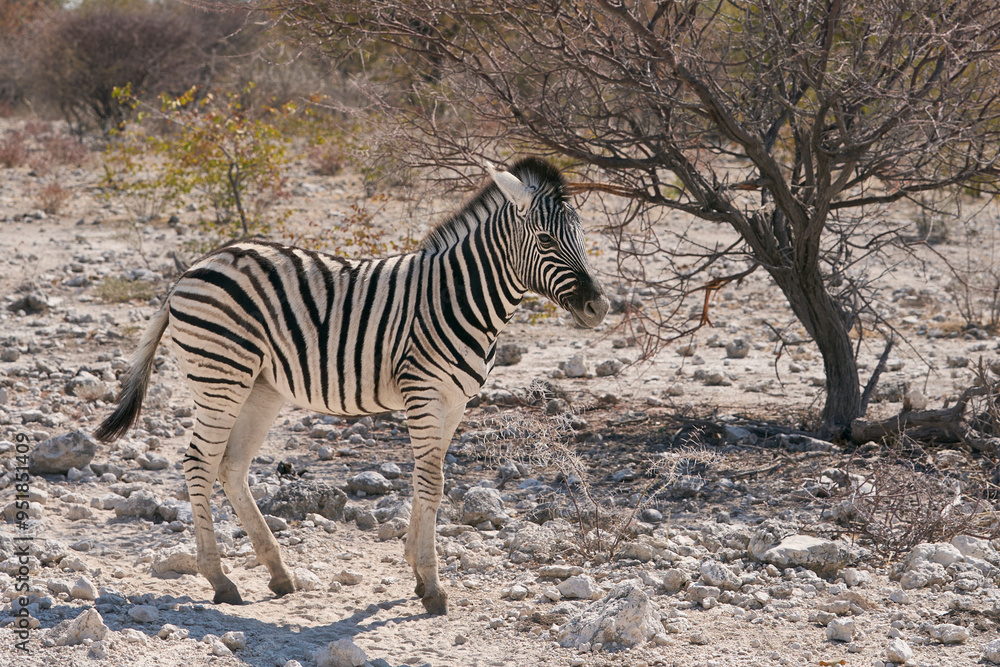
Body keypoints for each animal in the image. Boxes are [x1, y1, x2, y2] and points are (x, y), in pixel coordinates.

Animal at [95, 157, 610, 615]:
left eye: (583, 238)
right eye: (545, 239)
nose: (599, 307)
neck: (459, 297)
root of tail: (195, 266)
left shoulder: (455, 402)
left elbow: (428, 480)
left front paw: (417, 573)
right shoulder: (423, 393)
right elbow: (432, 483)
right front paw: (432, 585)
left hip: (261, 387)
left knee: (231, 467)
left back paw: (278, 573)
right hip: (221, 377)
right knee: (199, 463)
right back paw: (220, 580)